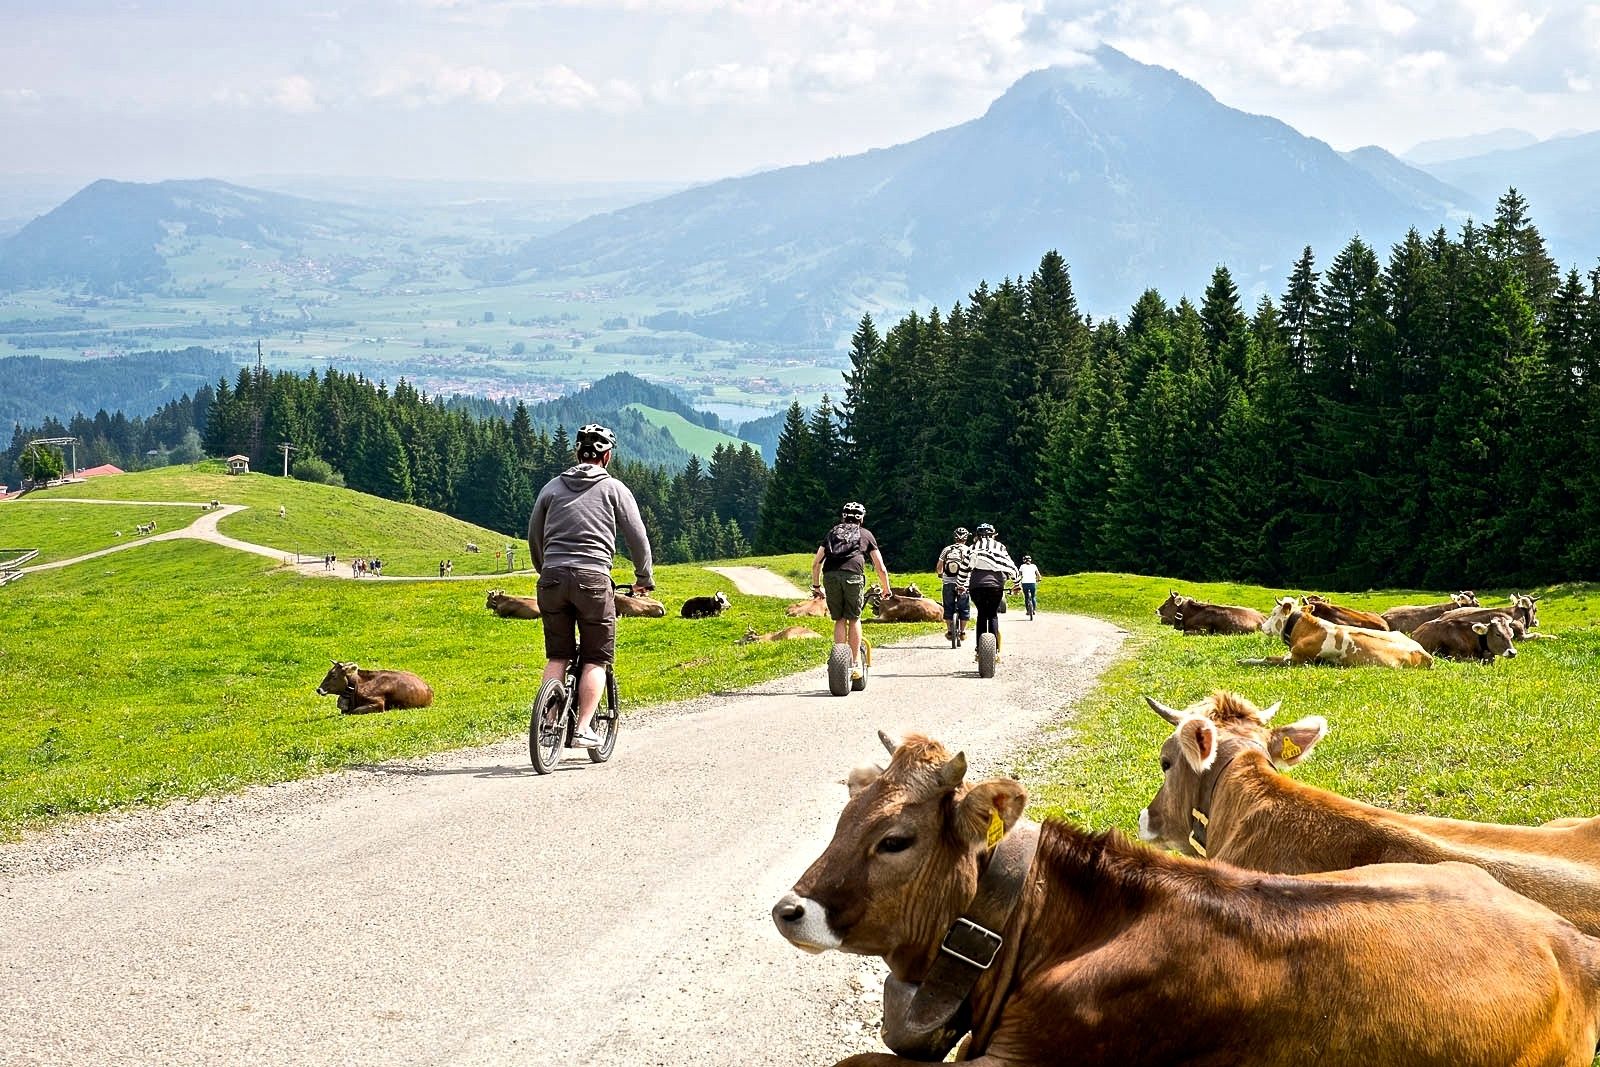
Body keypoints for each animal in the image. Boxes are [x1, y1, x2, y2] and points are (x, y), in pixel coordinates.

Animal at [1248, 591, 1440, 668]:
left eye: (1273, 613)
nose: (1262, 626)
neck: (1305, 629)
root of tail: (1425, 653)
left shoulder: (1297, 659)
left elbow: (1266, 658)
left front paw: (1246, 660)